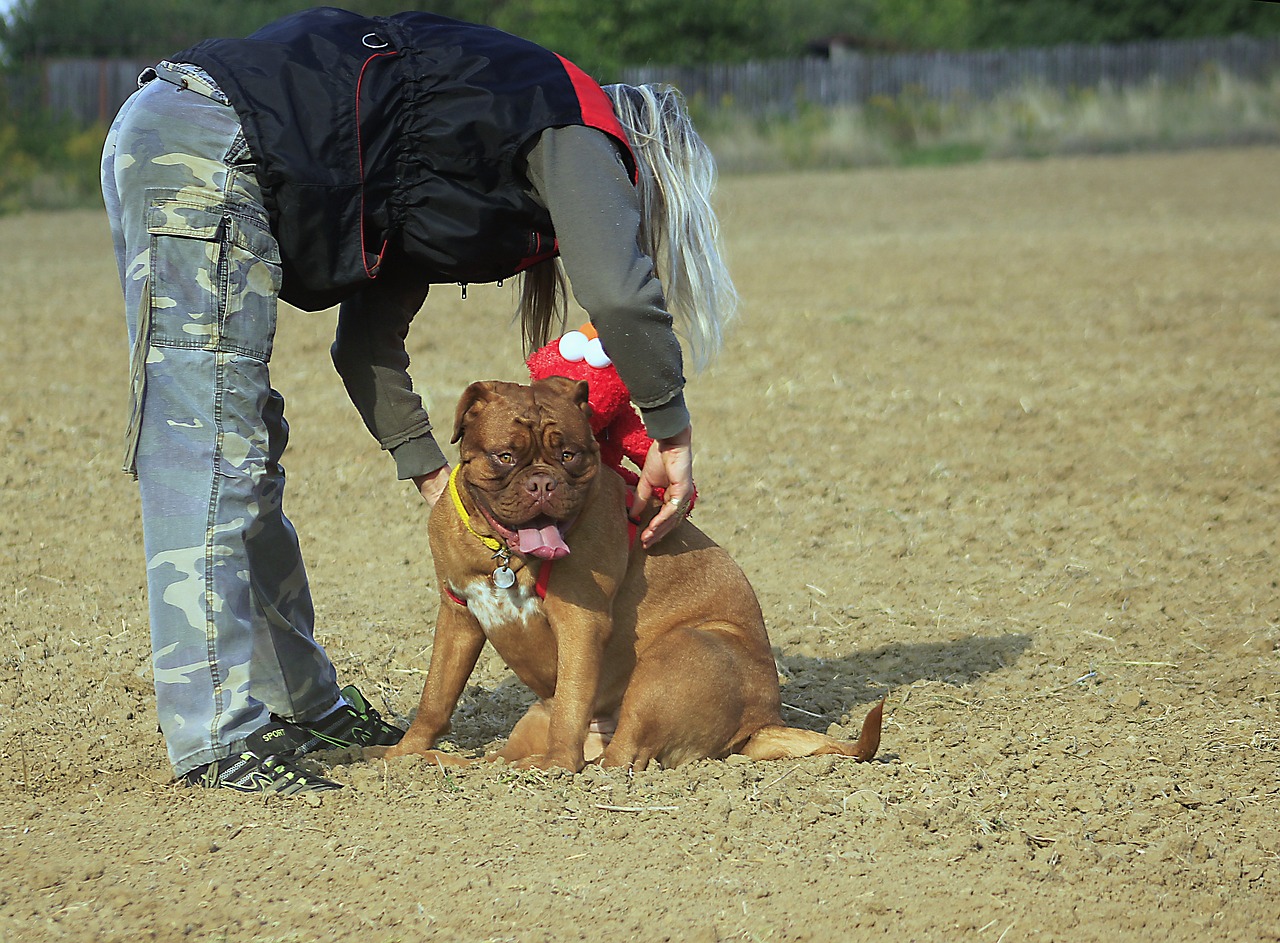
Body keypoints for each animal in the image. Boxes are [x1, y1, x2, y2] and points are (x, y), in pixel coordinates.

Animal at [384, 376, 885, 772]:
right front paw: (401, 754)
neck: (503, 553)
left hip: (677, 655)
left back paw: (535, 766)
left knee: (619, 756)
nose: (542, 482)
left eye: (569, 455)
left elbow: (571, 704)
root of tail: (765, 721)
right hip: (544, 713)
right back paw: (453, 762)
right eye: (505, 456)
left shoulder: (580, 623)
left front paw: (554, 767)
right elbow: (435, 696)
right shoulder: (458, 615)